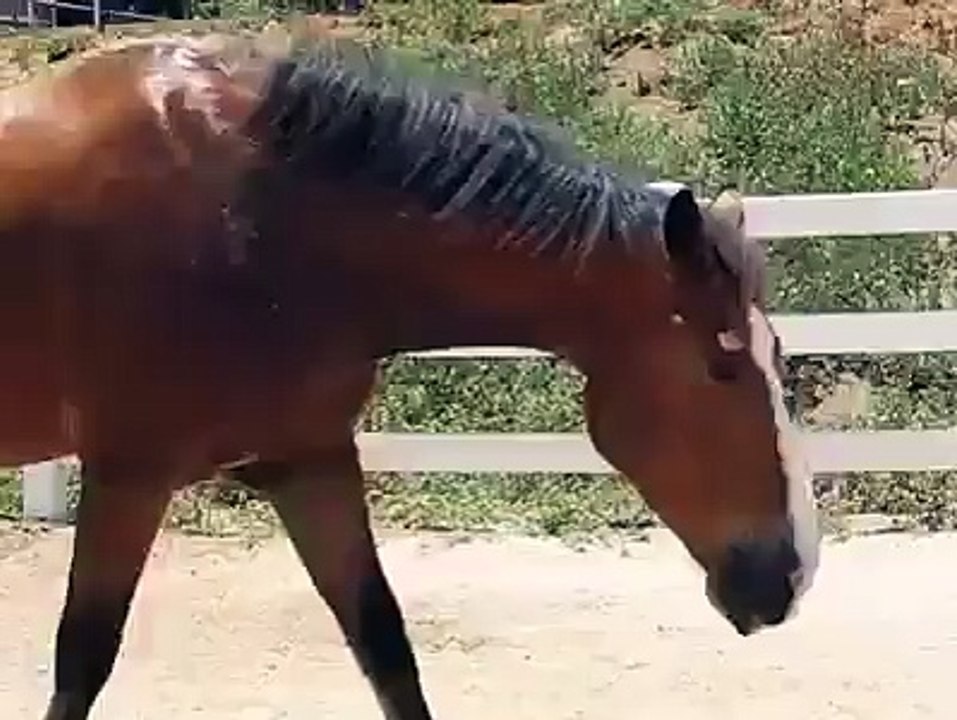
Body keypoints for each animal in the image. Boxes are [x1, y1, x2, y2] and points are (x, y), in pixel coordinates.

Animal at [0, 32, 820, 720]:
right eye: (720, 363)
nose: (791, 576)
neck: (254, 216)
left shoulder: (310, 462)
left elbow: (385, 645)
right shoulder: (131, 473)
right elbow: (82, 660)